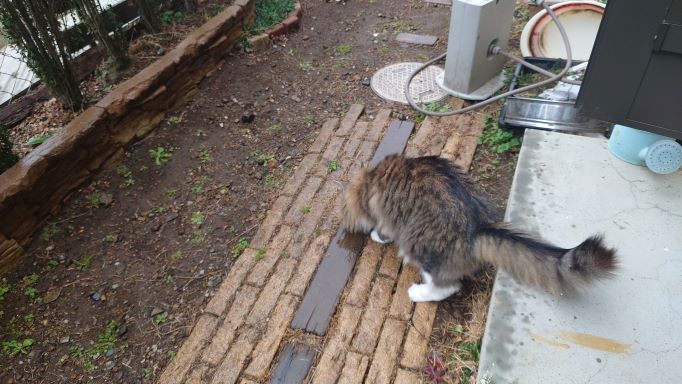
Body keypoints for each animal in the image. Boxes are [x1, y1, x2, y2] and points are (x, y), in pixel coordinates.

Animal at [342, 154, 612, 302]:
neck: (371, 178)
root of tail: (477, 227)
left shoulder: (384, 214)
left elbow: (383, 228)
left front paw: (377, 235)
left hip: (419, 246)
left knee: (447, 287)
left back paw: (418, 293)